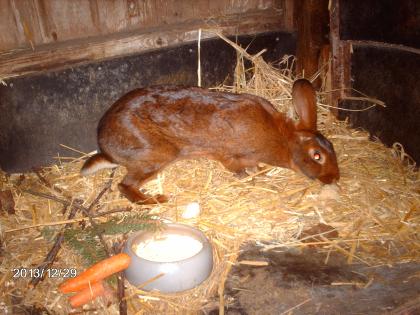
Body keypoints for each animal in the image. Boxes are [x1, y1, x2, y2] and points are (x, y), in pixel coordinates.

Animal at [81, 79, 338, 205]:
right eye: (317, 155)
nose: (334, 178)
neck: (283, 139)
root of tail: (107, 150)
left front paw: (261, 174)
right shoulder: (230, 156)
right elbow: (238, 169)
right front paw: (250, 178)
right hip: (153, 156)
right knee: (124, 185)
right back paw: (154, 200)